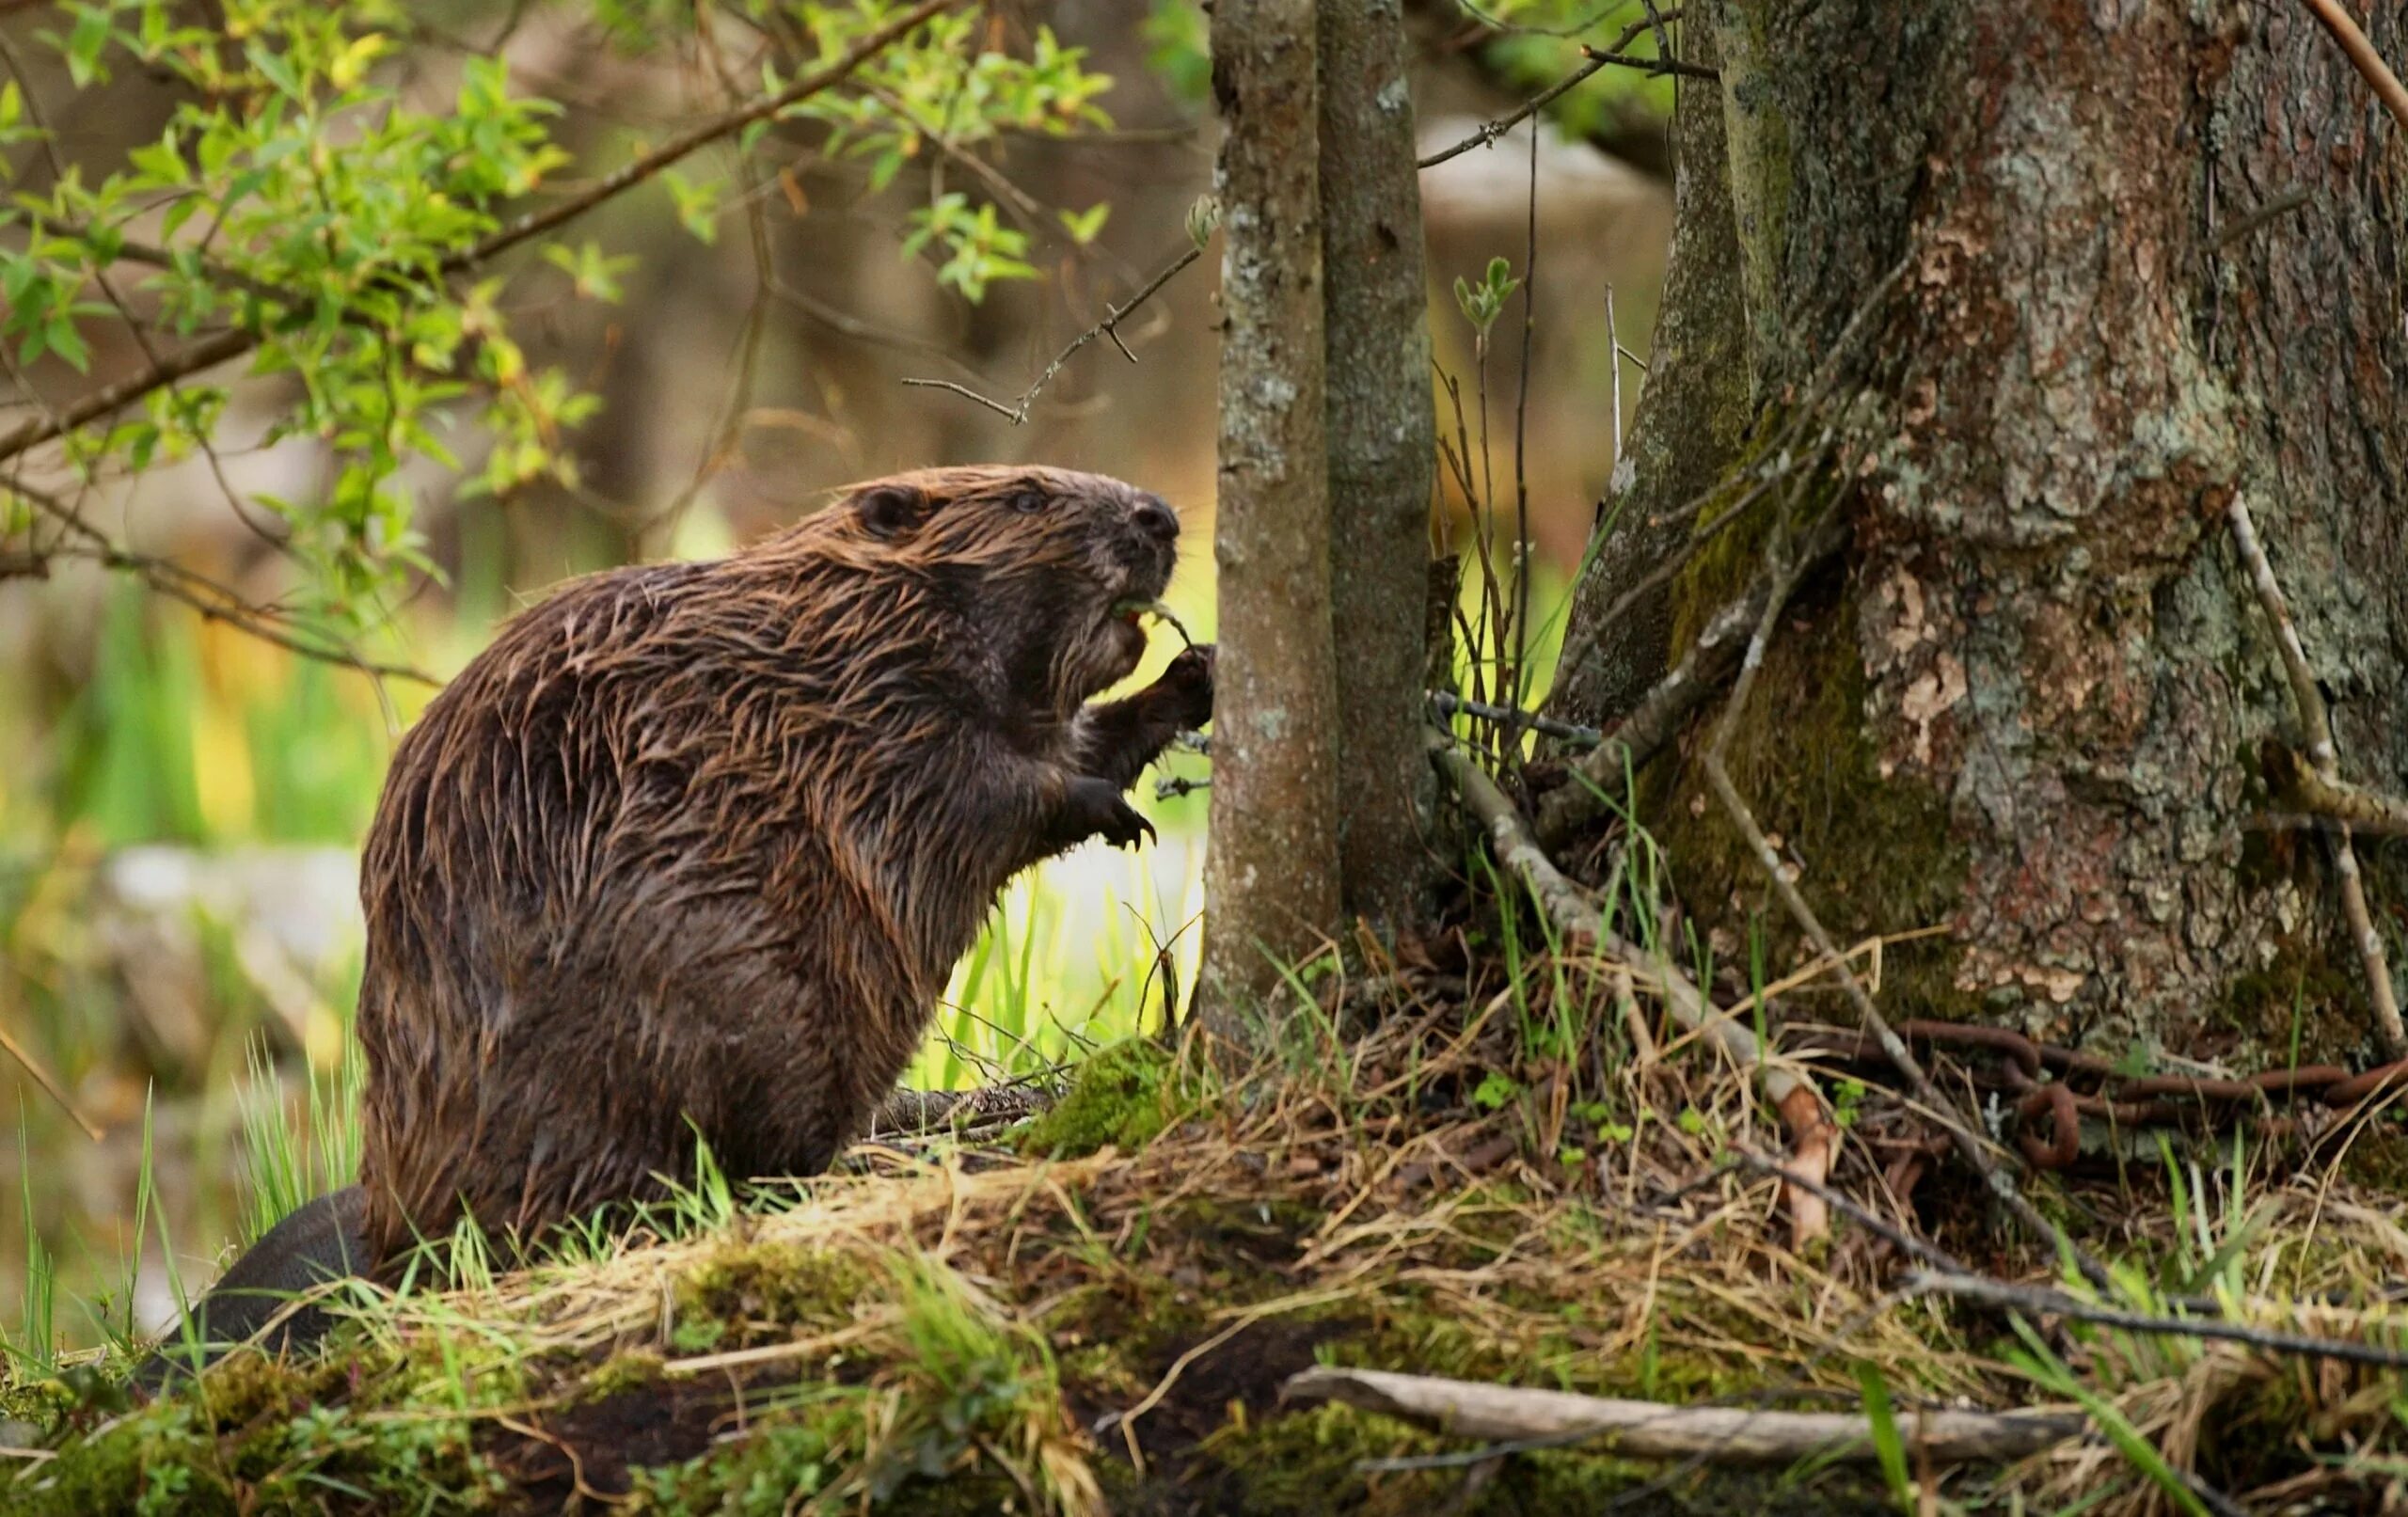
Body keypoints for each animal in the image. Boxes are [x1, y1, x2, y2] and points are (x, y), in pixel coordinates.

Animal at [148, 466, 1204, 1377]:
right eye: (1027, 495)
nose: (1161, 515)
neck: (846, 630)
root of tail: (387, 1242)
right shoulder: (876, 721)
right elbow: (987, 790)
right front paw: (1117, 811)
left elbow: (1068, 740)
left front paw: (1195, 674)